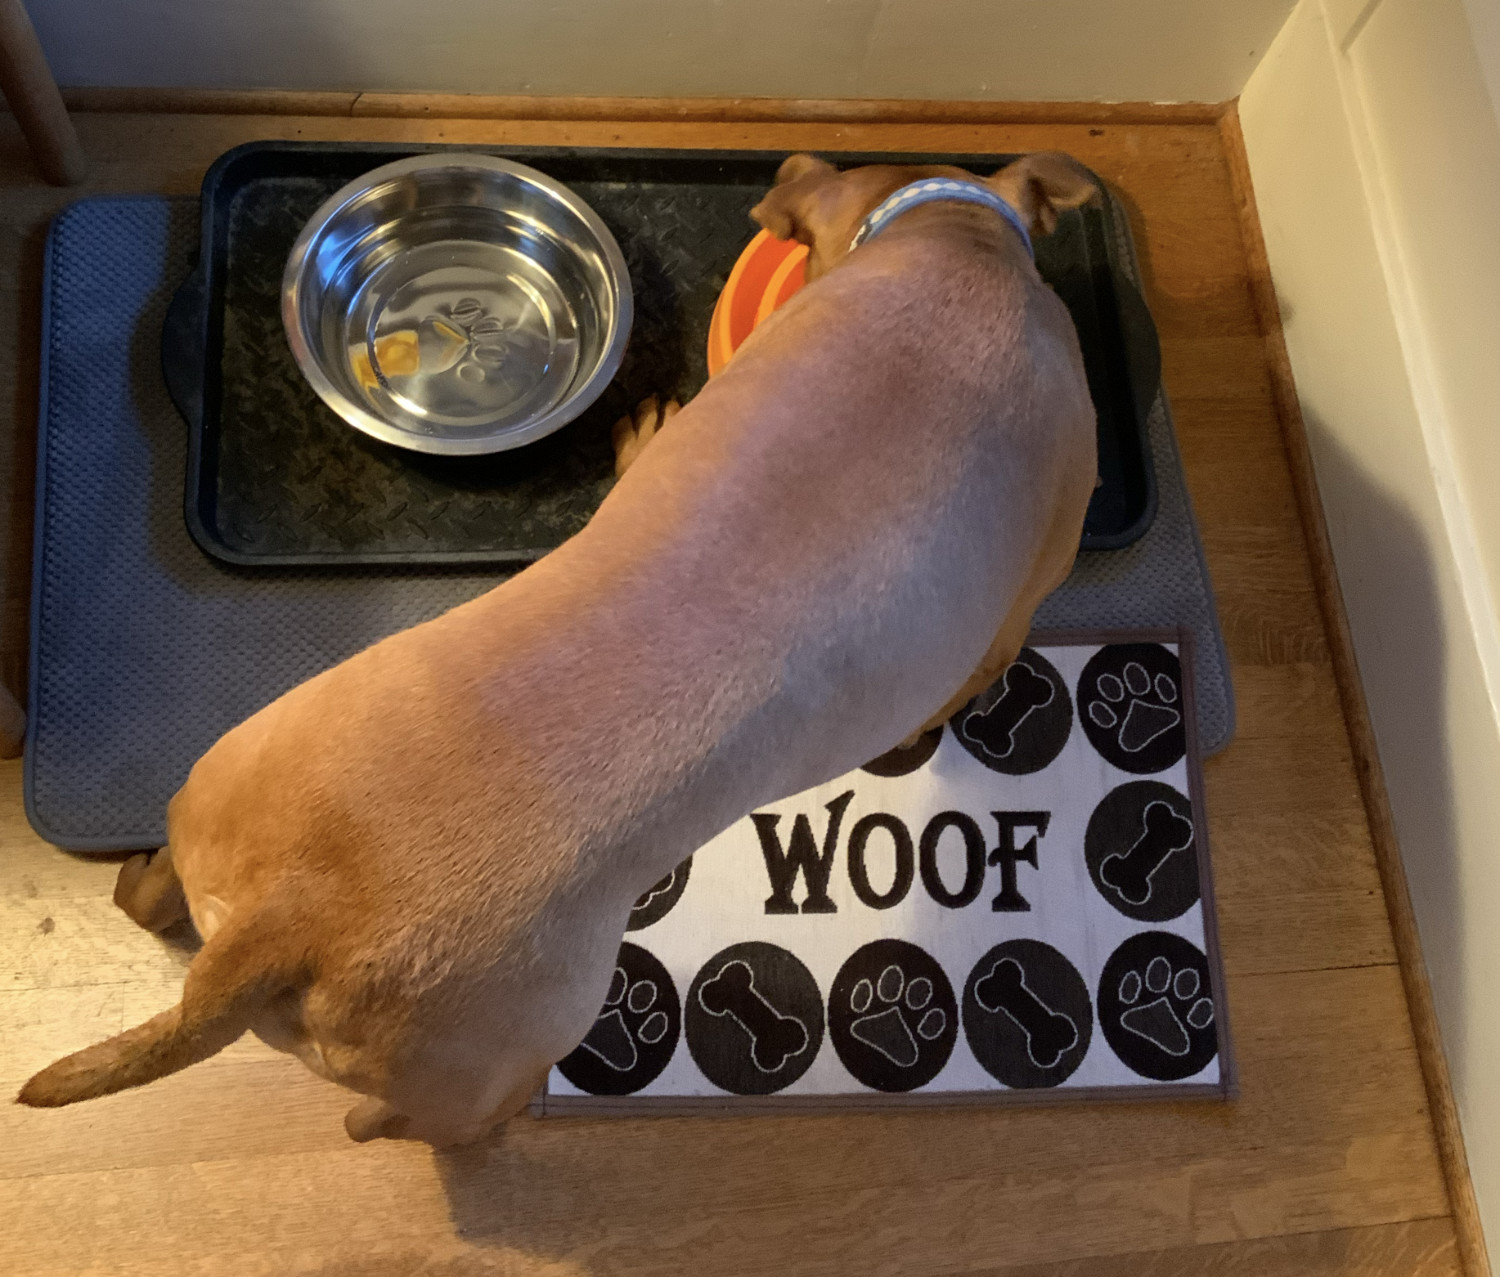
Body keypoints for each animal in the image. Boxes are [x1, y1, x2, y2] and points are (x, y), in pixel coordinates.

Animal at [17, 152, 1104, 1146]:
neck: (957, 251)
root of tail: (284, 919)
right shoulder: (1011, 606)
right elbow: (973, 669)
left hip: (223, 783)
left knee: (152, 893)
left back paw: (143, 878)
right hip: (509, 1031)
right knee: (395, 1123)